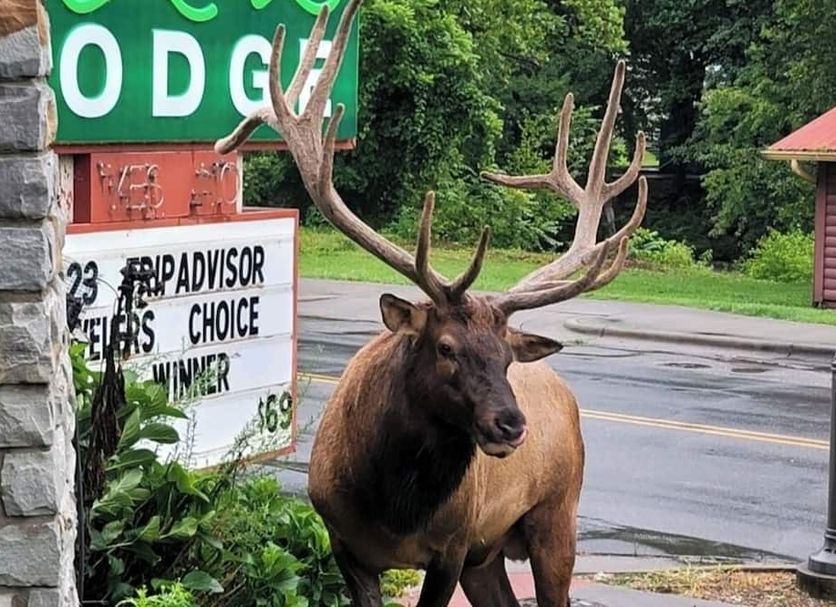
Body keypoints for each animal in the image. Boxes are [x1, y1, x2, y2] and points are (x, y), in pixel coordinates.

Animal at [215, 2, 647, 605]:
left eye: (506, 357)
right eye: (445, 346)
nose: (511, 425)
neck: (393, 508)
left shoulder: (453, 546)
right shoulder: (343, 542)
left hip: (556, 516)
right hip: (490, 554)